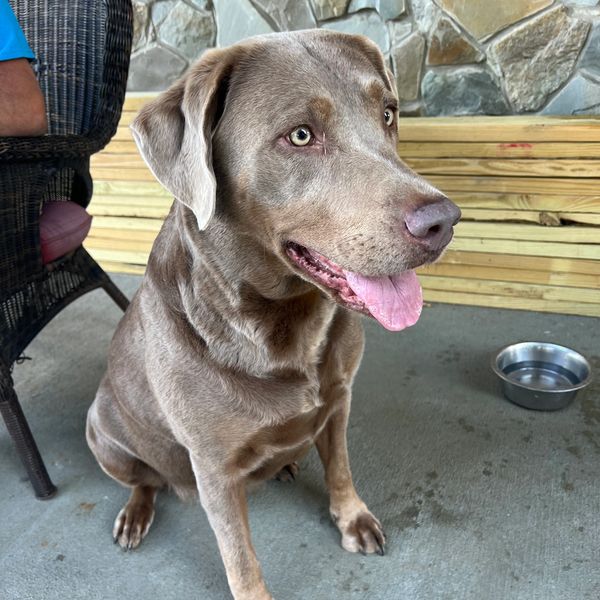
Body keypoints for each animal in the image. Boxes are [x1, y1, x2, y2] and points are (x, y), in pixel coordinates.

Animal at [86, 30, 460, 600]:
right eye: (301, 136)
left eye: (388, 115)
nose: (443, 221)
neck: (286, 327)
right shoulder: (214, 468)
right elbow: (240, 559)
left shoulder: (338, 399)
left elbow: (340, 466)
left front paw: (351, 517)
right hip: (102, 432)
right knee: (144, 481)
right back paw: (136, 513)